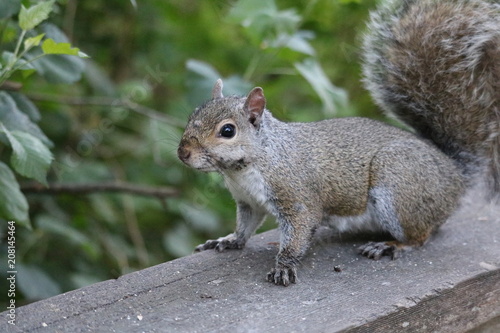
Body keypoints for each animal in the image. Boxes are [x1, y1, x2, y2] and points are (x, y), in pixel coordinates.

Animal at [178, 0, 498, 286]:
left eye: (227, 130)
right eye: (193, 113)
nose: (183, 153)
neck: (247, 167)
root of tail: (454, 173)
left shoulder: (296, 197)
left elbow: (298, 232)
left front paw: (284, 267)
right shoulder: (248, 202)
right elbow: (245, 227)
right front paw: (228, 240)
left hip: (398, 185)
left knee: (420, 235)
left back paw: (390, 245)